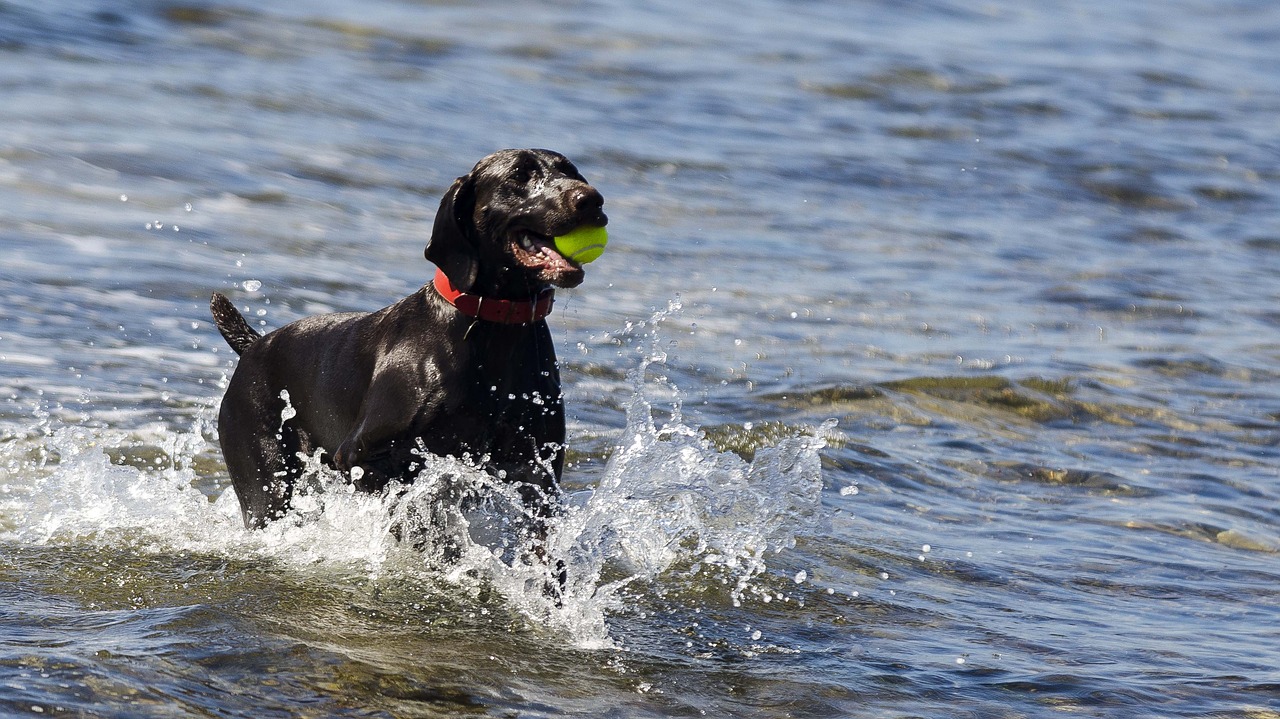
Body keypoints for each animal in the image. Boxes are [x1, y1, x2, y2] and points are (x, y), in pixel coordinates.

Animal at [211, 147, 609, 527]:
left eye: (571, 171)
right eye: (519, 175)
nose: (591, 199)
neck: (494, 327)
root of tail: (254, 345)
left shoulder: (535, 476)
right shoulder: (359, 456)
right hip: (266, 484)